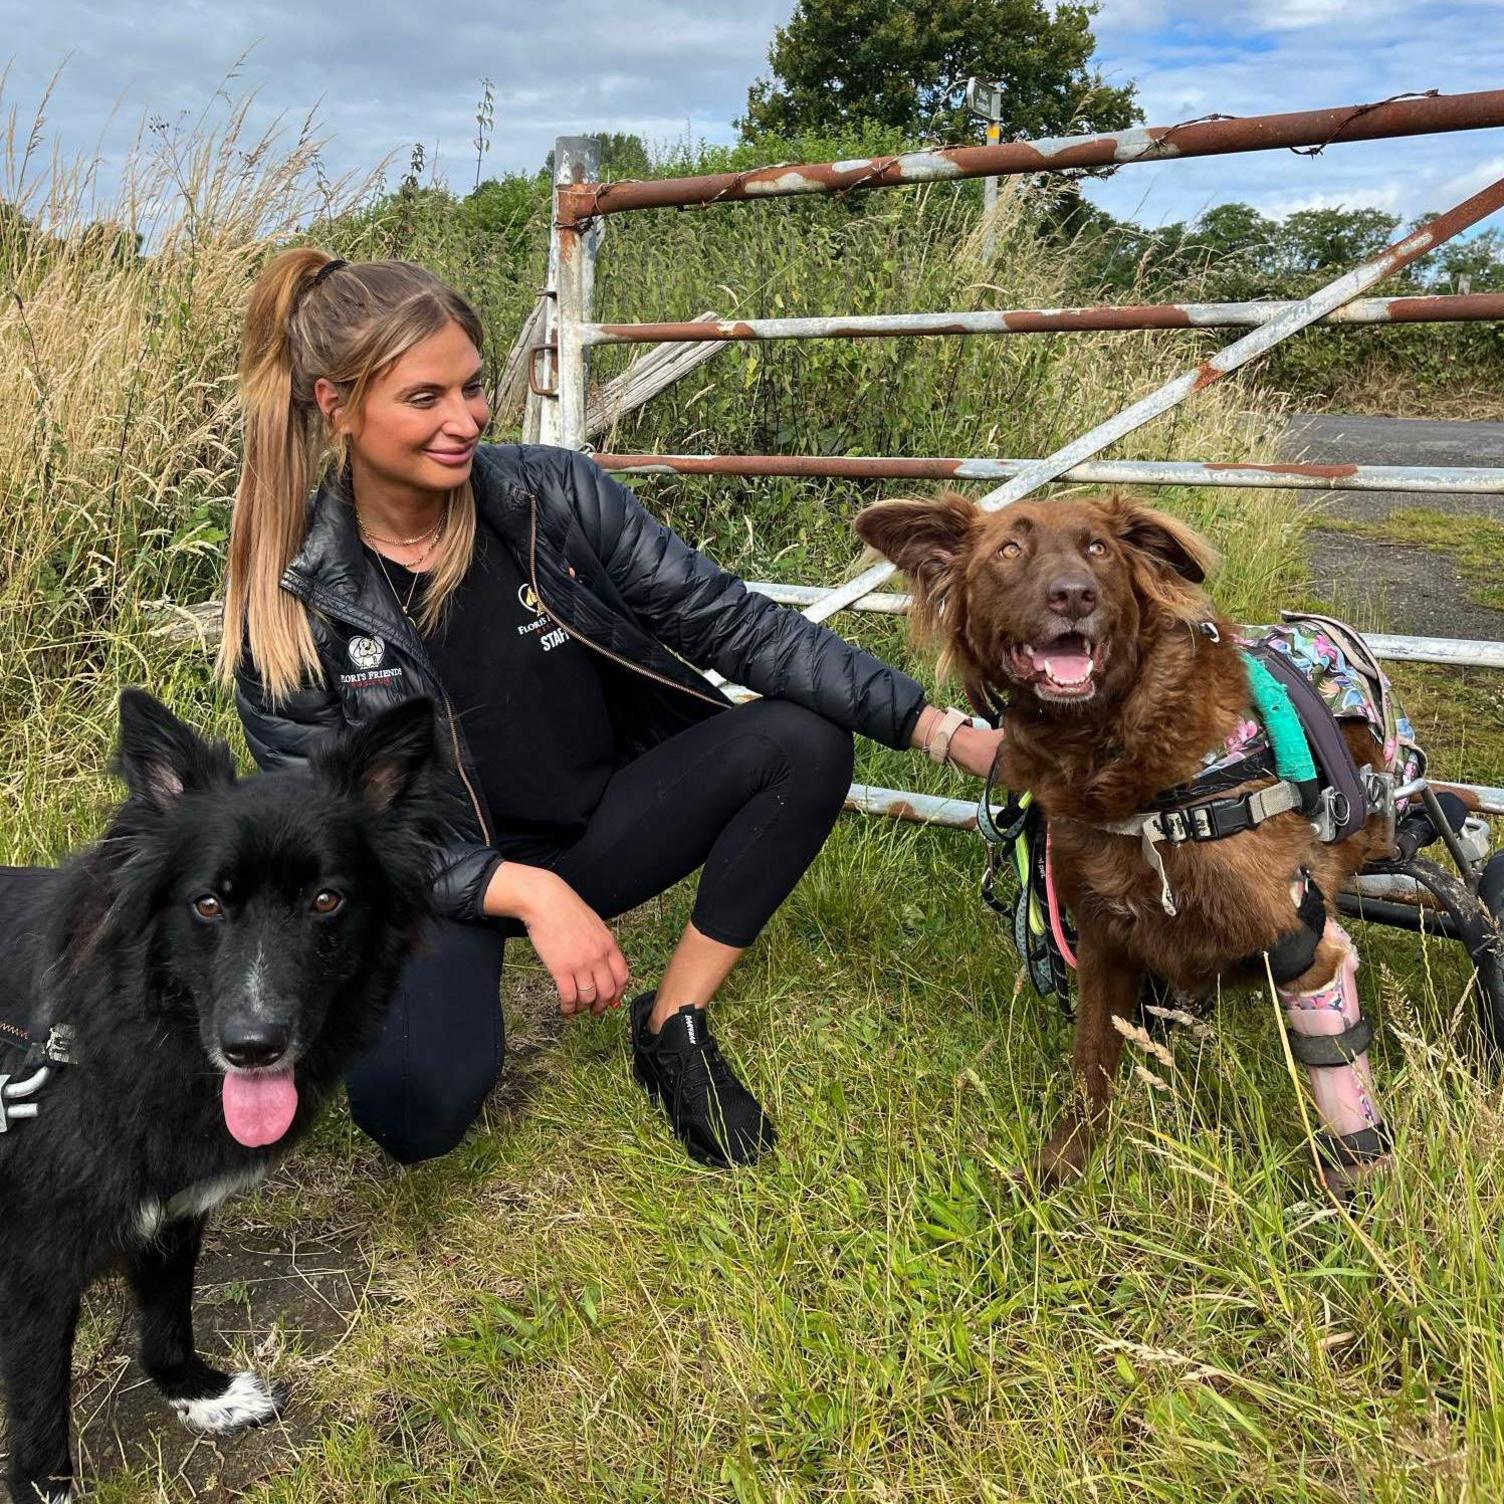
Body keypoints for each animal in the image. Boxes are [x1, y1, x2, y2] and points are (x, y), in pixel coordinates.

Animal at [1, 688, 439, 1497]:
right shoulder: (35, 1265)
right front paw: (46, 1488)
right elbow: (41, 1404)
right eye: (207, 905)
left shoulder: (172, 1213)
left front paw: (198, 1395)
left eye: (326, 900)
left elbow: (168, 1316)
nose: (253, 1047)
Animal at [854, 493, 1389, 1185]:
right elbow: (1093, 1055)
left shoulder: (1305, 942)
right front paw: (1066, 1165)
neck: (1114, 753)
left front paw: (1358, 1191)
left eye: (1098, 549)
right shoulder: (1105, 935)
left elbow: (1338, 1073)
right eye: (1009, 550)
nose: (1073, 595)